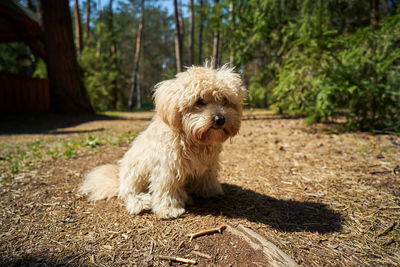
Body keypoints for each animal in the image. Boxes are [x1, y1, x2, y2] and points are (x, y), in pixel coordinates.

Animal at [78, 65, 247, 220]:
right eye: (199, 101)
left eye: (225, 100)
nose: (220, 119)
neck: (193, 141)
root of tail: (119, 180)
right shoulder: (167, 167)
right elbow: (167, 188)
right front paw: (169, 209)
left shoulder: (209, 164)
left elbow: (207, 177)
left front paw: (209, 190)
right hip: (135, 171)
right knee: (129, 193)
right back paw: (141, 202)